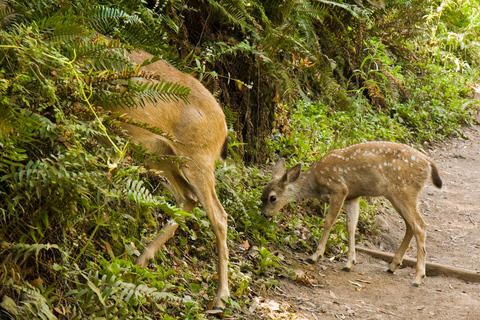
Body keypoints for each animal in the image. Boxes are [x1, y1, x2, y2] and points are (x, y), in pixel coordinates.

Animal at [114, 48, 231, 308]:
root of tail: (225, 126)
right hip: (161, 154)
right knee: (187, 197)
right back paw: (140, 261)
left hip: (197, 158)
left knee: (219, 216)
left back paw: (220, 297)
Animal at [262, 141, 442, 286]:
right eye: (261, 196)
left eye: (272, 197)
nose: (264, 215)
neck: (316, 181)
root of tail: (429, 163)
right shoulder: (352, 197)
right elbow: (351, 226)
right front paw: (349, 263)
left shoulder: (339, 189)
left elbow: (329, 221)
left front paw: (315, 256)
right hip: (395, 194)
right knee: (410, 225)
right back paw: (393, 266)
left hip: (404, 190)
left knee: (420, 225)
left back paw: (417, 278)